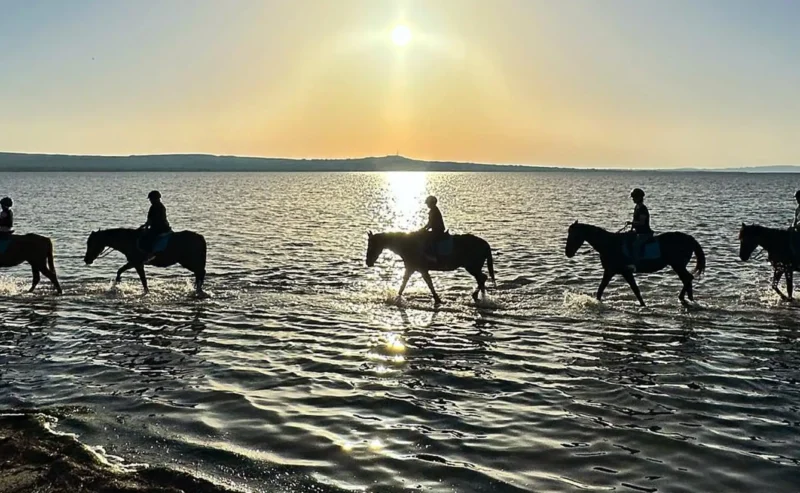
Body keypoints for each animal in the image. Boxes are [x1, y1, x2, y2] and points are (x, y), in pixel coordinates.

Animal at [365, 231, 495, 305]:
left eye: (371, 245)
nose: (368, 262)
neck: (408, 244)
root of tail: (485, 243)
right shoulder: (412, 269)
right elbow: (404, 284)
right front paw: (396, 297)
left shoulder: (421, 269)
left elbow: (428, 283)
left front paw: (437, 299)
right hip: (474, 268)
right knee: (481, 279)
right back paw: (482, 297)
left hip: (472, 267)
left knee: (482, 278)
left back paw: (477, 296)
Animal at [565, 222, 705, 306]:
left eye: (574, 236)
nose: (568, 253)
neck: (610, 244)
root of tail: (690, 238)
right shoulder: (610, 271)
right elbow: (601, 289)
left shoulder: (624, 271)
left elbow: (635, 289)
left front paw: (643, 305)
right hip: (678, 266)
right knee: (687, 280)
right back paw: (688, 299)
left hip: (678, 265)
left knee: (688, 278)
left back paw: (682, 298)